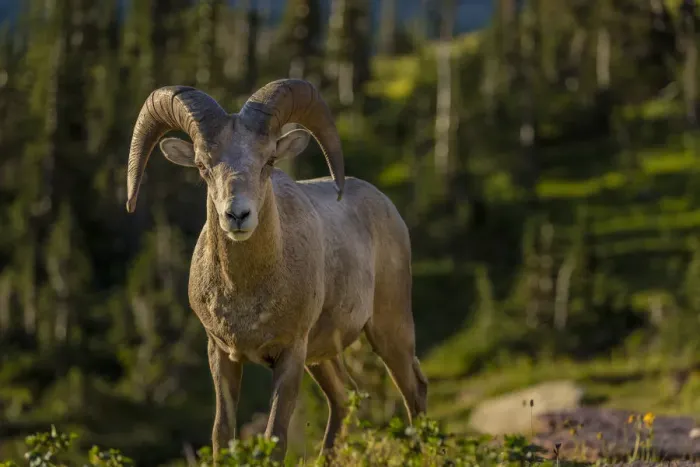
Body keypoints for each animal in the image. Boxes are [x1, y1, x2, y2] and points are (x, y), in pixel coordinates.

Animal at [124, 79, 428, 462]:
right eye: (203, 166)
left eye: (268, 161)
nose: (237, 215)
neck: (246, 292)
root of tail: (387, 207)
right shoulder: (221, 354)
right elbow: (221, 435)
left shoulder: (289, 354)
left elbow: (274, 437)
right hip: (322, 357)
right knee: (345, 398)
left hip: (389, 330)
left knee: (413, 391)